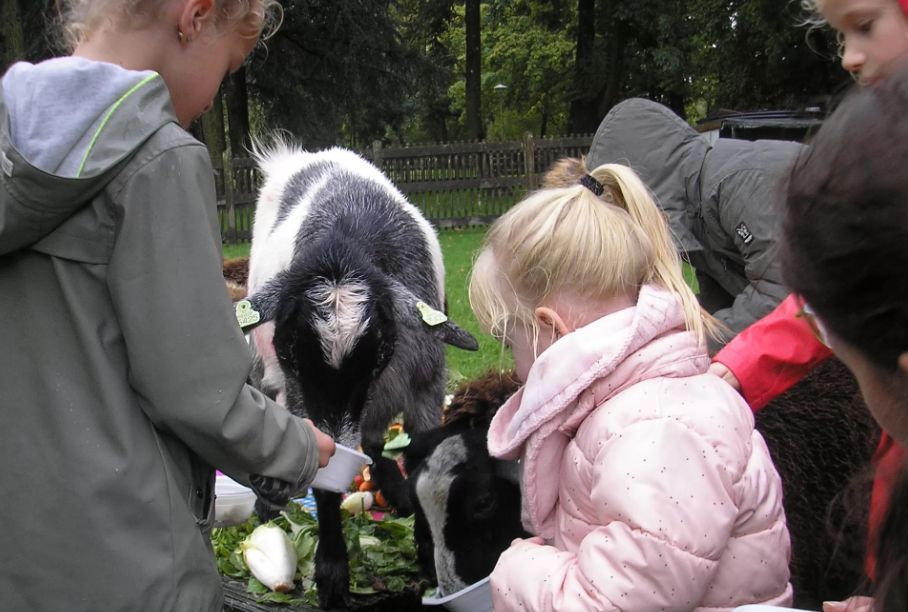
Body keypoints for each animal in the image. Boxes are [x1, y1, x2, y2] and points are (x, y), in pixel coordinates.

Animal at [241, 145, 482, 608]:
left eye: (376, 355)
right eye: (292, 352)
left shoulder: (426, 384)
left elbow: (421, 456)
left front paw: (427, 551)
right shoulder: (301, 398)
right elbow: (324, 478)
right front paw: (332, 575)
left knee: (374, 441)